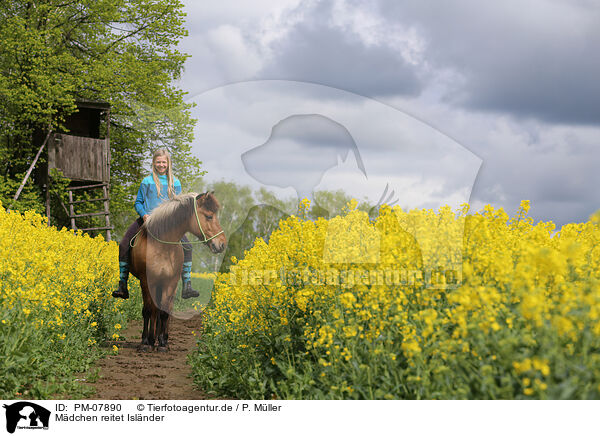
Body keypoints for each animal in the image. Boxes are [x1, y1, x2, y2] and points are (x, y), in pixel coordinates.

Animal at [130, 192, 226, 352]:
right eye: (209, 216)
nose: (222, 244)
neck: (162, 247)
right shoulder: (146, 281)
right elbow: (148, 310)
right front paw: (144, 342)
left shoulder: (170, 282)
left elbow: (163, 312)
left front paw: (162, 344)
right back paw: (151, 339)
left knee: (165, 308)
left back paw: (161, 339)